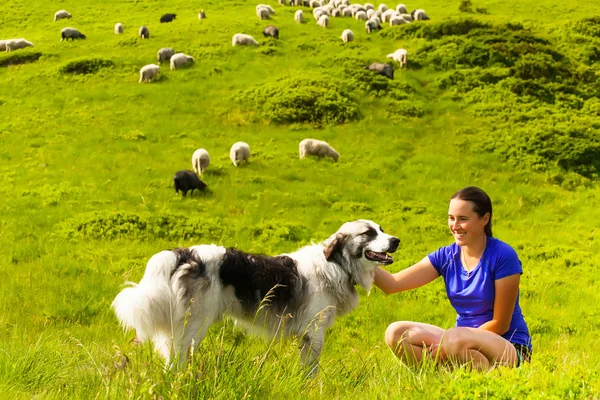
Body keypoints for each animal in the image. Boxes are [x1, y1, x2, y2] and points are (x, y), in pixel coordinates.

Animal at [114, 219, 400, 372]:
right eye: (368, 233)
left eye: (382, 229)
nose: (396, 240)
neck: (337, 264)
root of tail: (185, 253)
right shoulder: (314, 333)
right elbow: (312, 371)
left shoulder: (306, 336)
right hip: (192, 325)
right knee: (176, 359)